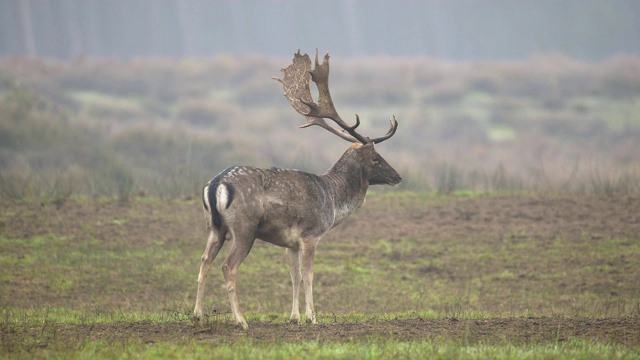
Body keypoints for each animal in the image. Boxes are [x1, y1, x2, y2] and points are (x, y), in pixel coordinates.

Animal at [192, 50, 400, 330]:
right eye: (376, 157)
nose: (398, 176)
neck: (332, 200)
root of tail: (217, 184)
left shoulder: (289, 243)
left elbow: (294, 276)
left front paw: (294, 317)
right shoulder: (310, 235)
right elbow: (308, 275)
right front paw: (312, 317)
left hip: (214, 228)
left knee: (204, 261)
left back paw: (198, 315)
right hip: (244, 228)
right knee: (228, 266)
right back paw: (241, 320)